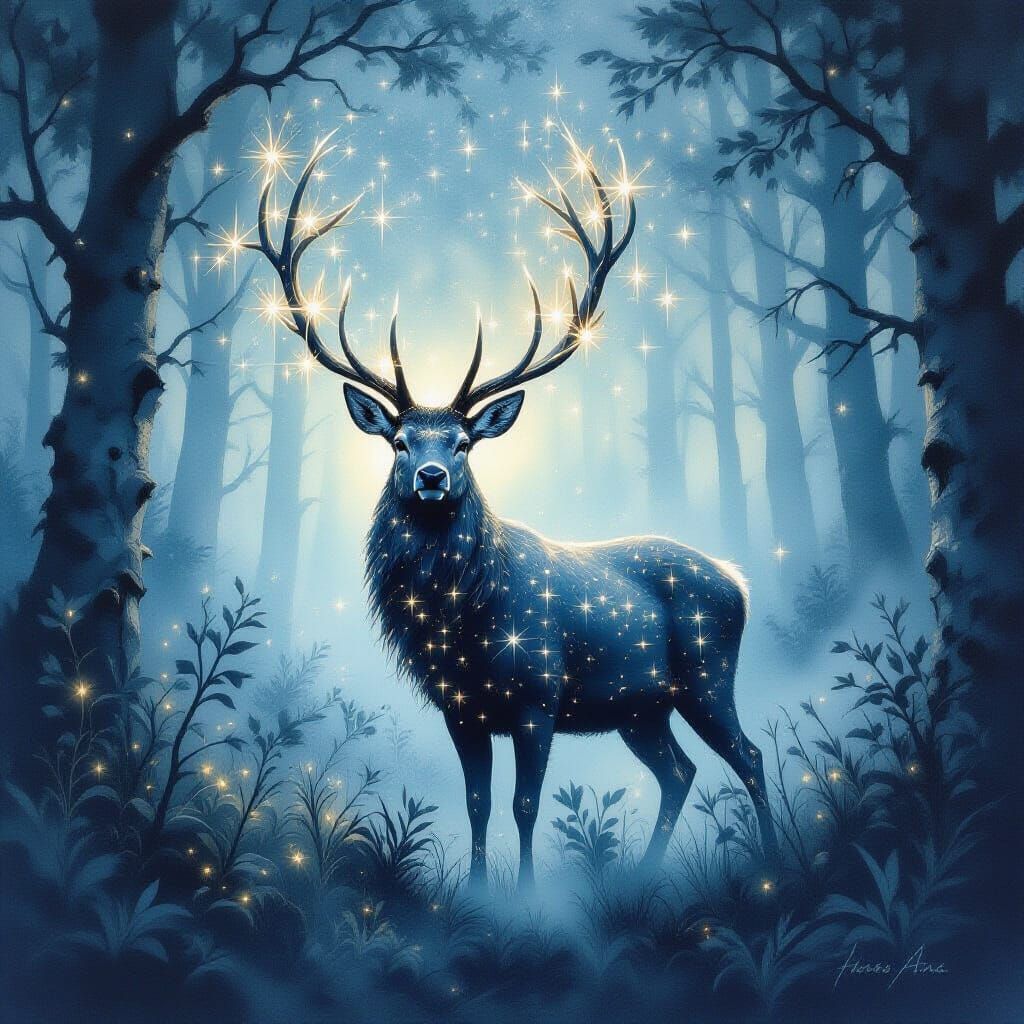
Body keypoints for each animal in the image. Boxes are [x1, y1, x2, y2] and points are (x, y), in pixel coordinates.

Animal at [246, 131, 779, 890]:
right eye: (400, 441)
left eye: (464, 442)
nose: (432, 477)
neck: (463, 623)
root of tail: (738, 579)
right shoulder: (460, 708)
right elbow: (478, 803)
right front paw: (476, 892)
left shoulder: (538, 697)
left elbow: (527, 804)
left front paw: (526, 896)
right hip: (641, 707)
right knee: (679, 771)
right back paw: (644, 874)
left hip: (707, 674)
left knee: (748, 756)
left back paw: (771, 858)